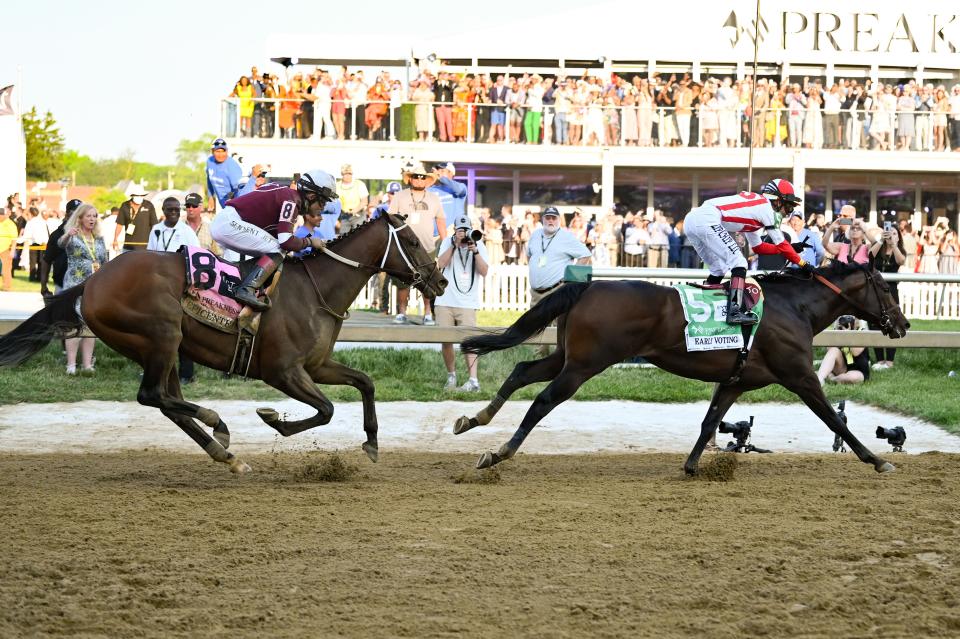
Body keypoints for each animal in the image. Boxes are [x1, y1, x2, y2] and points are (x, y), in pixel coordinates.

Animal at [0, 218, 446, 472]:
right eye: (412, 241)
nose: (440, 280)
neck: (315, 289)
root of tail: (91, 282)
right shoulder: (282, 371)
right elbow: (326, 410)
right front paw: (274, 419)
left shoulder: (316, 366)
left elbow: (365, 382)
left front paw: (371, 443)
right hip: (162, 336)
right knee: (152, 395)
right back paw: (218, 423)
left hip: (162, 348)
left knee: (166, 402)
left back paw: (226, 454)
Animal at [458, 260, 908, 476]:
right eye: (888, 290)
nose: (902, 325)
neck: (794, 306)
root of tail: (587, 285)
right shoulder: (801, 376)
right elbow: (835, 420)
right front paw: (877, 460)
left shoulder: (735, 382)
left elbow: (710, 422)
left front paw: (693, 466)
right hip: (585, 365)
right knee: (543, 400)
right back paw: (499, 452)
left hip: (567, 356)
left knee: (521, 371)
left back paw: (472, 420)